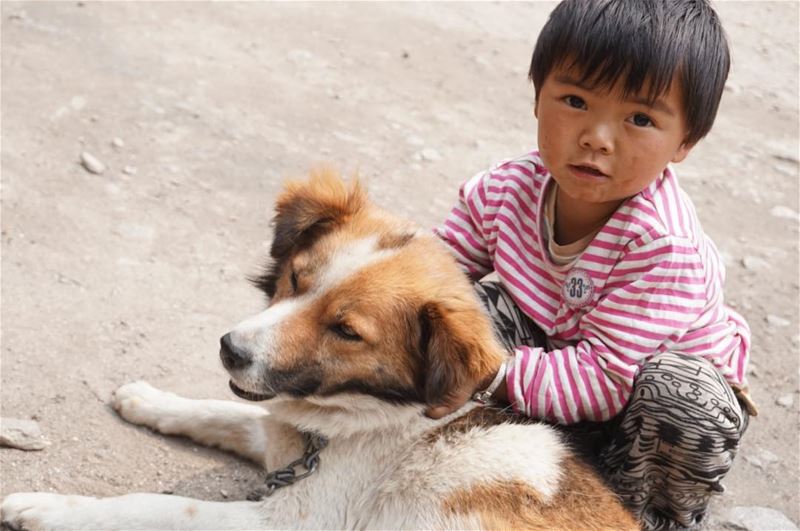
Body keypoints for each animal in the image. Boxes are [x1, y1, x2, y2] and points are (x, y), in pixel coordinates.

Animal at [0, 172, 636, 528]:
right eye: (296, 279)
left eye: (346, 331)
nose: (230, 349)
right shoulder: (278, 436)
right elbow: (222, 412)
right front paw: (147, 399)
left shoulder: (288, 522)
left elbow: (157, 507)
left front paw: (46, 508)